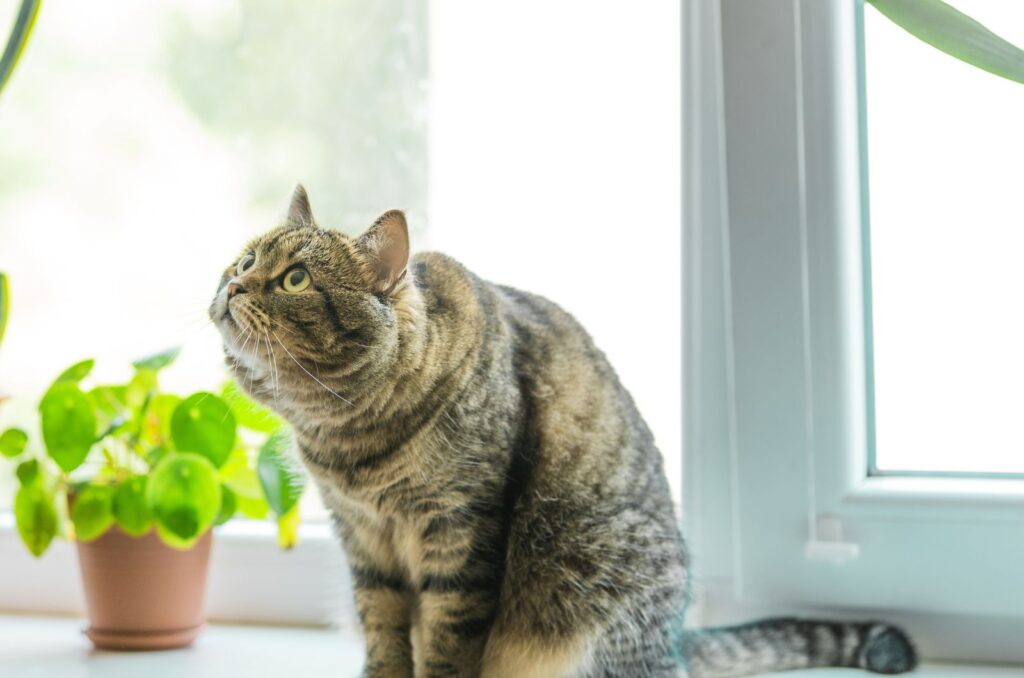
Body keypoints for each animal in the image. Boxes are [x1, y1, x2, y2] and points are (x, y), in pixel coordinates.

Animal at [209, 184, 921, 678]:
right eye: (242, 259)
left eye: (294, 278)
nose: (233, 284)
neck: (346, 435)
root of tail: (675, 644)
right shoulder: (363, 541)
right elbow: (384, 636)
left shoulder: (461, 530)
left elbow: (446, 639)